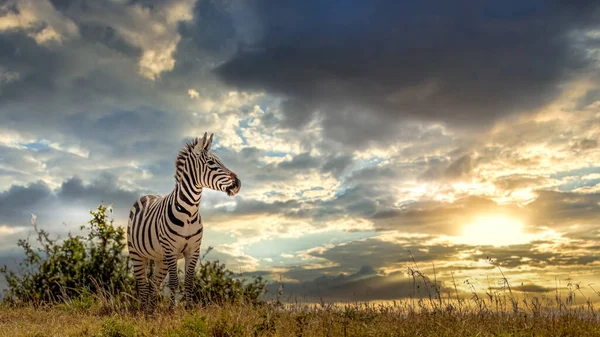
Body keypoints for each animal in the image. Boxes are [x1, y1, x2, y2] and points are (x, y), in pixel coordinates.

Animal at [127, 131, 241, 310]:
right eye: (211, 162)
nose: (237, 184)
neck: (189, 212)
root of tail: (147, 195)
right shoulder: (171, 250)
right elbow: (174, 282)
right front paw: (171, 310)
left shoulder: (193, 250)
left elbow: (189, 282)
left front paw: (190, 309)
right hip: (137, 253)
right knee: (143, 284)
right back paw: (142, 310)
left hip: (160, 258)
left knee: (153, 284)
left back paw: (151, 311)